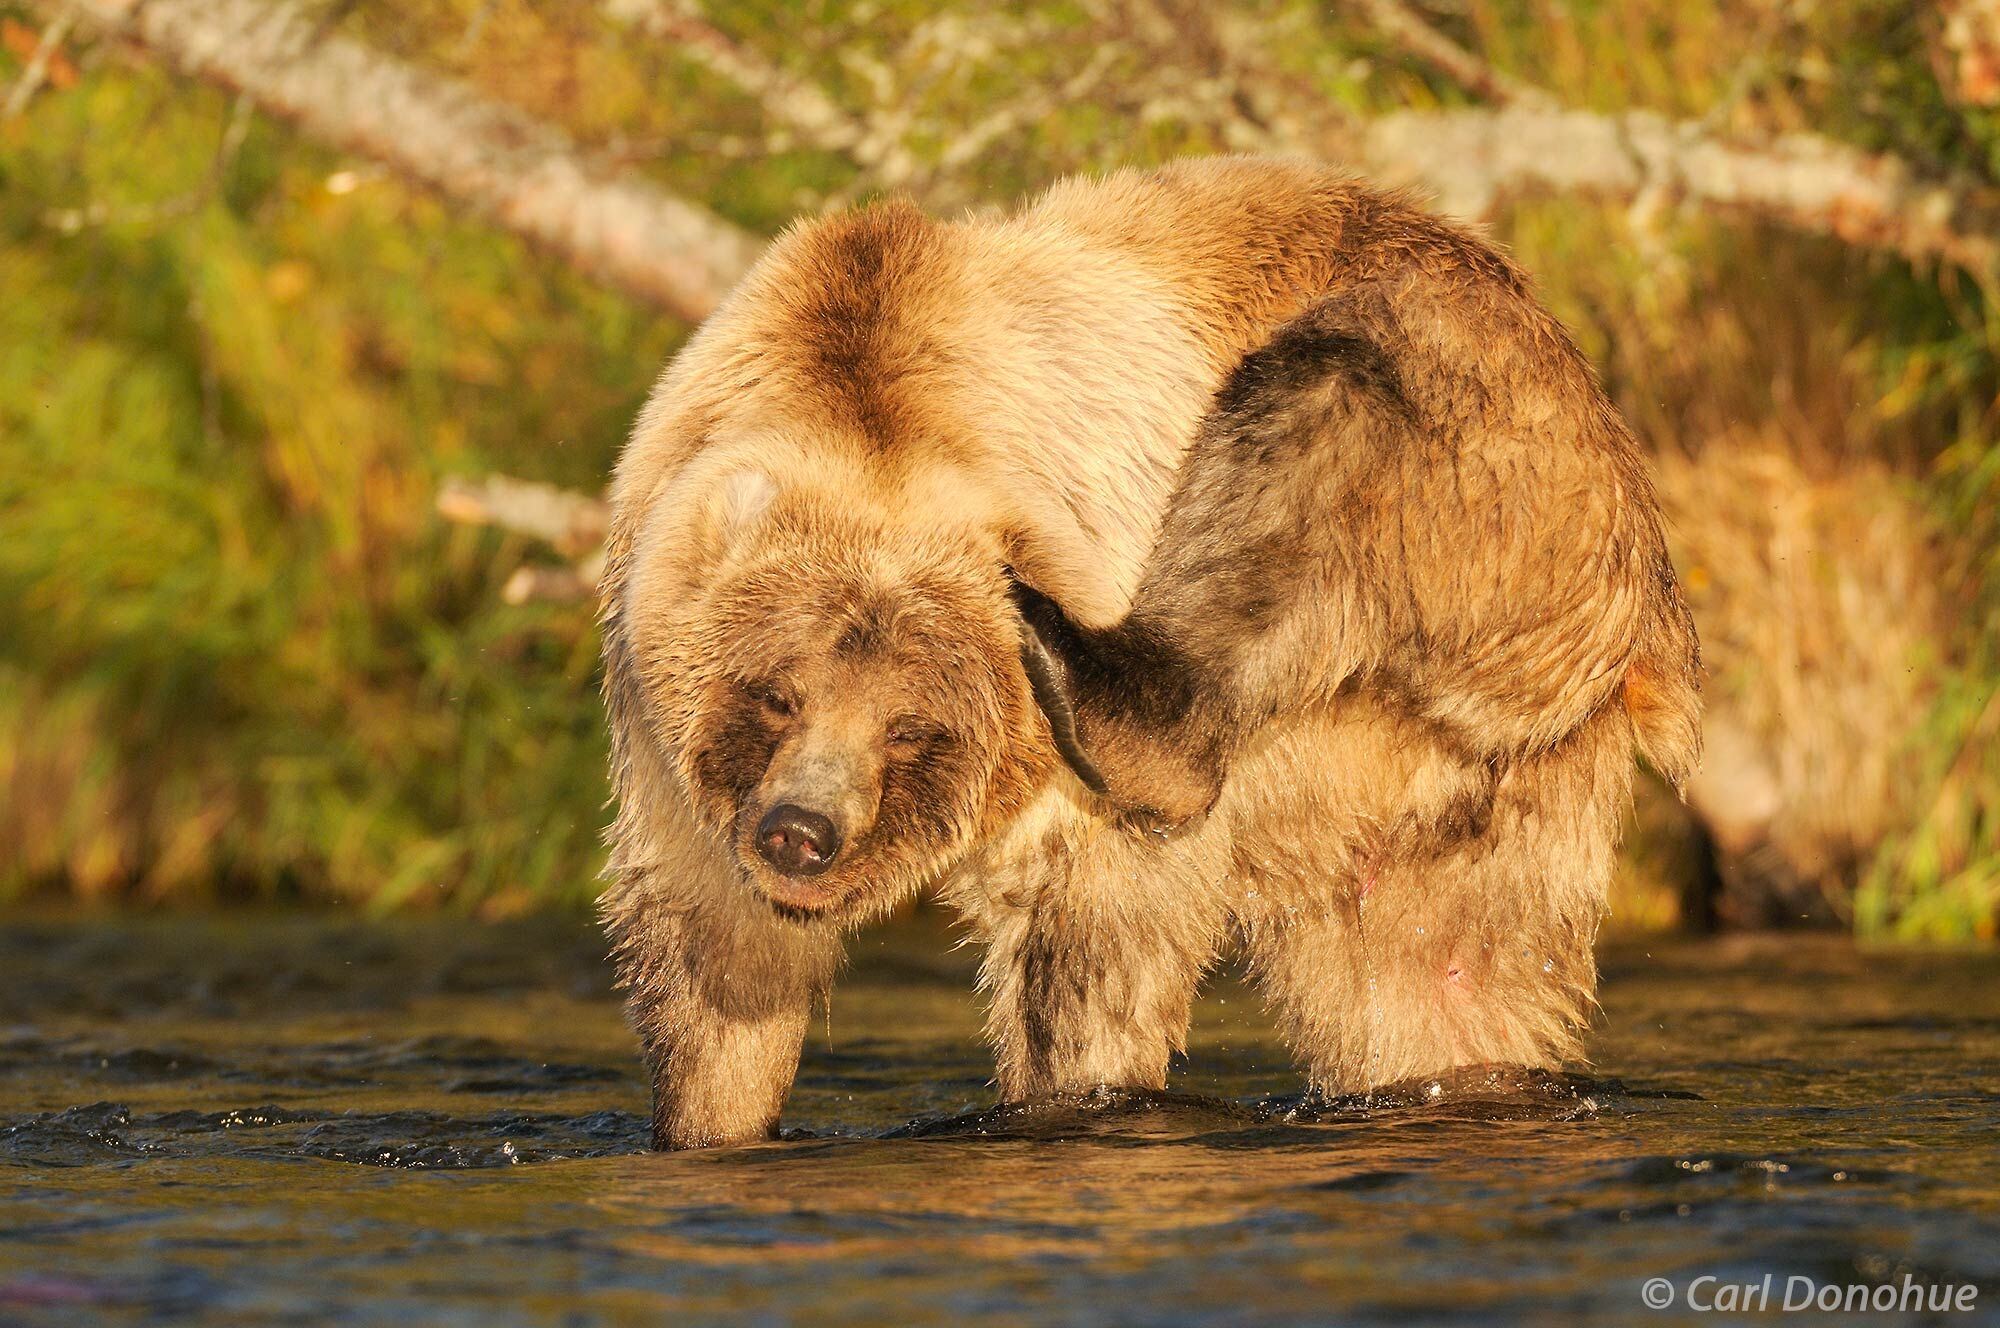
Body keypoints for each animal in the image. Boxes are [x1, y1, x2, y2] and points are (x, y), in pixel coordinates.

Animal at [596, 158, 1704, 1152]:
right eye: (778, 694)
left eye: (909, 725)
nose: (801, 831)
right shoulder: (662, 731)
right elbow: (713, 961)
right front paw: (710, 1118)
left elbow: (1091, 943)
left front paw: (1074, 1095)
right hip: (1443, 784)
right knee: (1438, 969)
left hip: (1498, 487)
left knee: (1325, 405)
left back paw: (1098, 684)